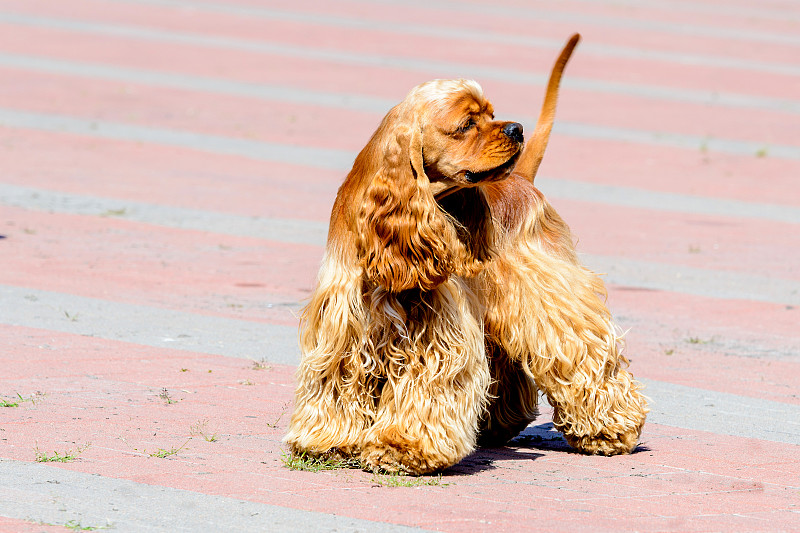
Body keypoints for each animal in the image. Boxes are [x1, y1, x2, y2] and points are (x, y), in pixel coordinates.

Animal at [284, 34, 648, 474]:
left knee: (585, 355)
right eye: (466, 124)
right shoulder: (343, 322)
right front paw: (330, 441)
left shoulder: (437, 329)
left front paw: (403, 447)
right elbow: (337, 381)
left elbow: (428, 388)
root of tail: (522, 178)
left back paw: (609, 430)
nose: (516, 128)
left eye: (491, 113)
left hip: (548, 297)